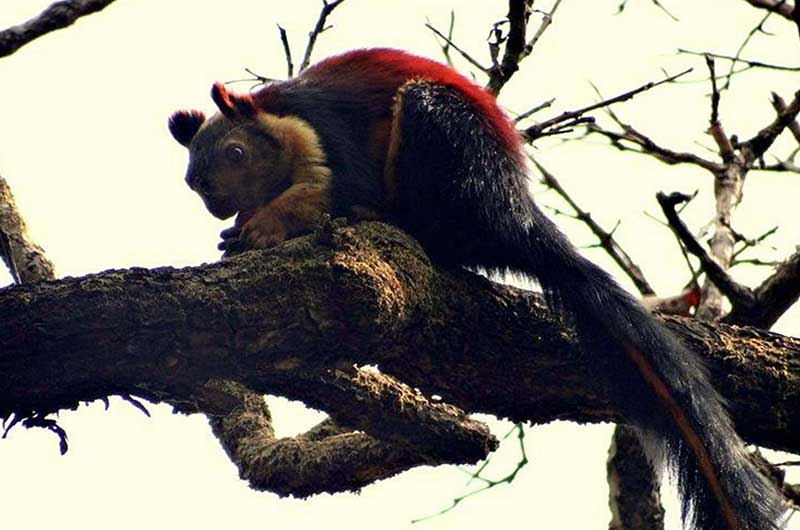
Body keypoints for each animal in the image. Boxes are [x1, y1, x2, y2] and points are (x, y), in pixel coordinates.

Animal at [169, 48, 785, 530]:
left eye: (236, 153)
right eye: (192, 181)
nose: (215, 202)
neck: (281, 122)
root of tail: (512, 212)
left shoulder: (327, 132)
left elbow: (330, 190)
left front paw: (262, 227)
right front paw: (239, 230)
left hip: (442, 136)